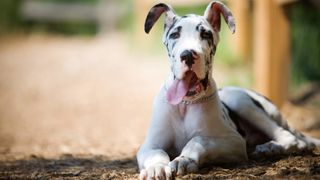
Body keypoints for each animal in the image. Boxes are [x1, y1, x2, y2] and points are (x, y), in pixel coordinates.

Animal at [136, 1, 318, 179]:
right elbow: (157, 153)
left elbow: (199, 140)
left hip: (240, 101)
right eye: (174, 35)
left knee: (291, 137)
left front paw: (184, 159)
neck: (185, 104)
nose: (187, 55)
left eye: (206, 35)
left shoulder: (234, 141)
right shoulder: (149, 145)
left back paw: (271, 147)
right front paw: (157, 167)